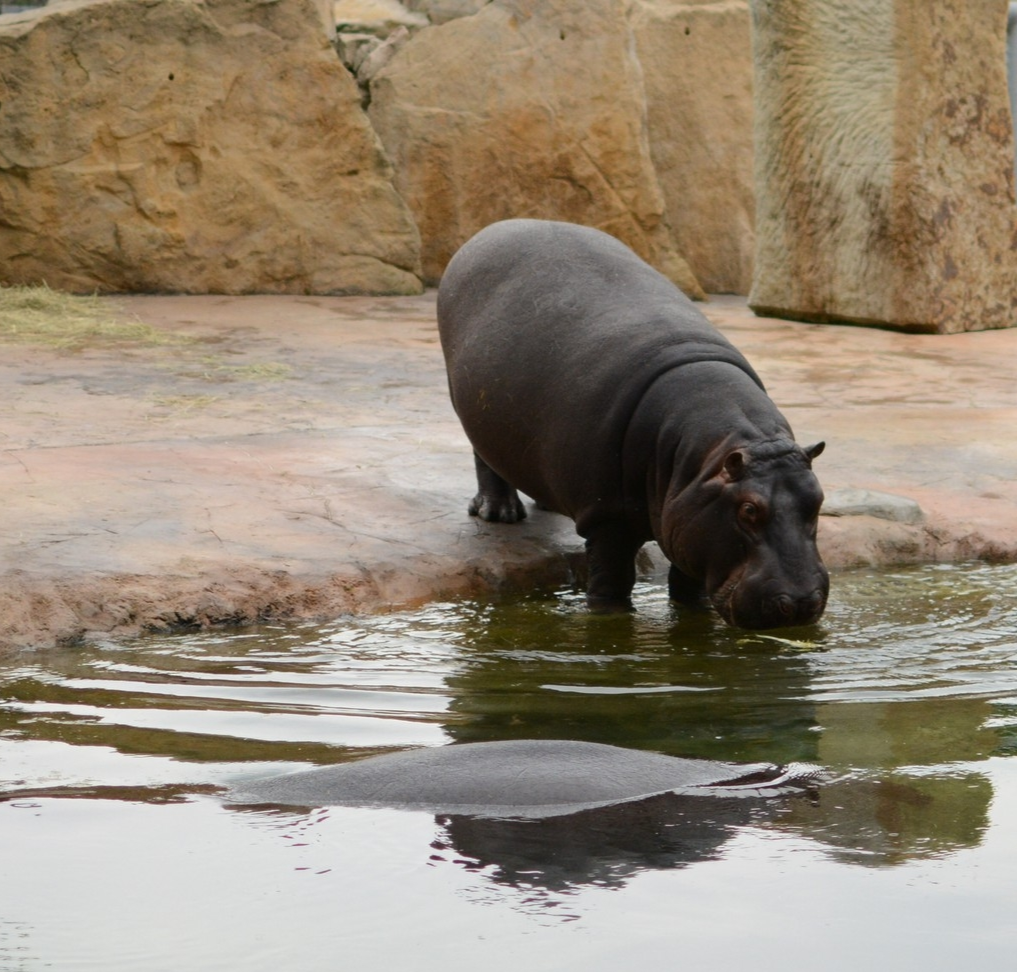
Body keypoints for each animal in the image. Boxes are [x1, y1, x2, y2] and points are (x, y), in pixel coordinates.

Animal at [435, 218, 825, 630]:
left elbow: (687, 579)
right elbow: (613, 577)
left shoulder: (691, 515)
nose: (801, 603)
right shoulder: (608, 517)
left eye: (818, 499)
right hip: (468, 404)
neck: (709, 459)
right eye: (749, 510)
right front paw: (609, 615)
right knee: (484, 457)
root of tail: (493, 228)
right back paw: (500, 514)